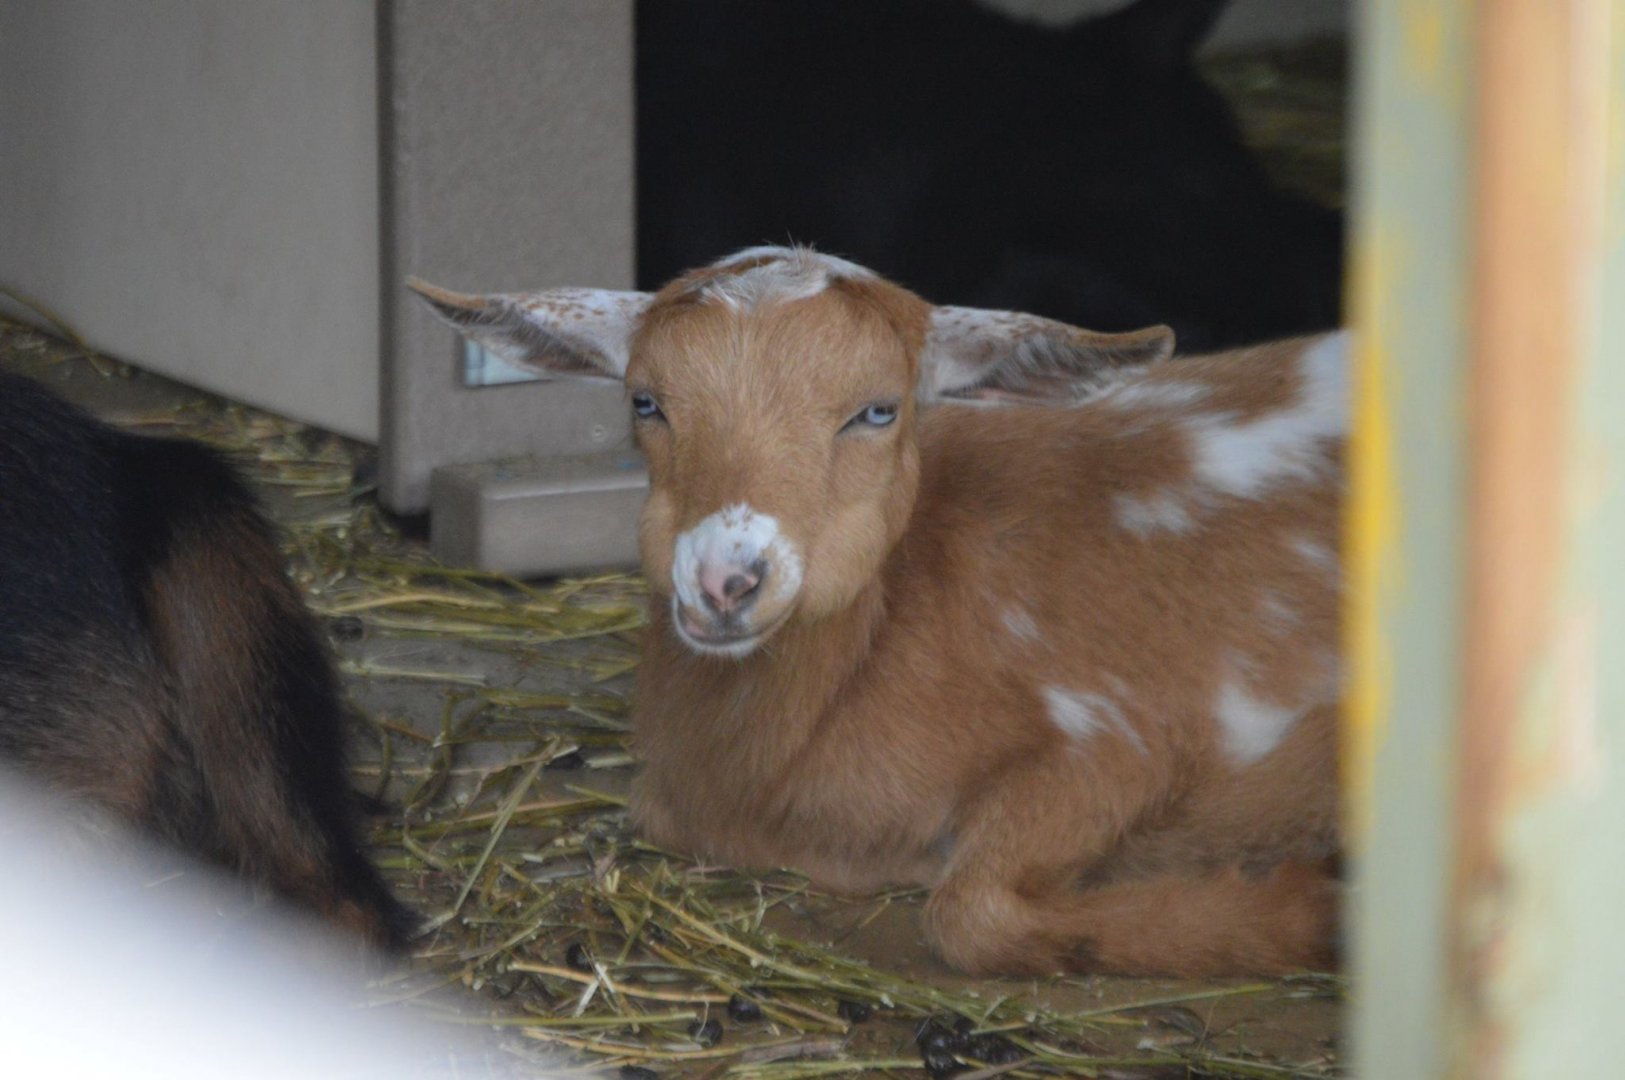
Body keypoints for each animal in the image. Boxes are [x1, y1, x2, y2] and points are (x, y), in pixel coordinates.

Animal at [411, 245, 1342, 976]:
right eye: (645, 401)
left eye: (877, 410)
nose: (724, 581)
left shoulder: (1130, 733)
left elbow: (966, 913)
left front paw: (1310, 909)